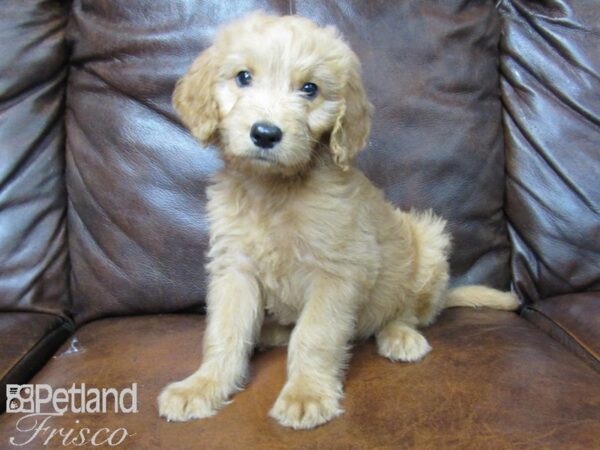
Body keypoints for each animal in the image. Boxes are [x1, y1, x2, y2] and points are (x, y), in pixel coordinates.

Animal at [159, 11, 520, 428]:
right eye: (243, 77)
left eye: (310, 89)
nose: (265, 134)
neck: (275, 190)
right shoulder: (235, 269)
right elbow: (225, 332)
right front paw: (203, 385)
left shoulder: (337, 272)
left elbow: (315, 334)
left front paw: (306, 394)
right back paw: (270, 331)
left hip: (427, 242)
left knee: (407, 313)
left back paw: (400, 336)